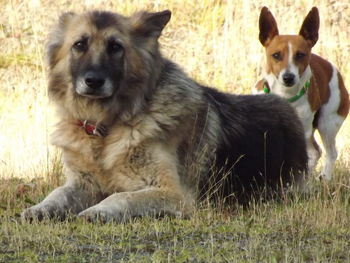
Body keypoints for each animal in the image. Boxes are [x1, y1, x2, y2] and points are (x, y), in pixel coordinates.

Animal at [21, 9, 306, 222]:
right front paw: (40, 208)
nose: (93, 81)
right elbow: (57, 194)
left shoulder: (173, 193)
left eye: (115, 47)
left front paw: (98, 210)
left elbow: (121, 196)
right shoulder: (82, 183)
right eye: (80, 45)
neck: (108, 126)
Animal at [253, 6, 348, 179]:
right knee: (316, 152)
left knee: (329, 152)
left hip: (327, 124)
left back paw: (324, 178)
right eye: (276, 55)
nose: (288, 77)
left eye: (300, 55)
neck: (285, 96)